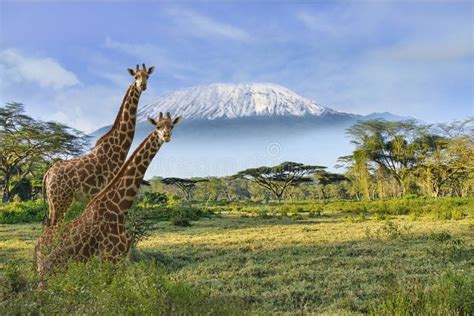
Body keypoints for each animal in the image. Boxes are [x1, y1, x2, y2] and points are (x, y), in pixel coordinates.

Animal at [34, 111, 182, 278]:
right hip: (49, 268)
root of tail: (37, 248)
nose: (166, 136)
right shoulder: (109, 257)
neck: (118, 207)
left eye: (172, 125)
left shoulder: (120, 259)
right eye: (158, 126)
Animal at [42, 63, 154, 227]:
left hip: (54, 201)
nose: (143, 85)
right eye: (136, 76)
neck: (118, 149)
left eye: (147, 76)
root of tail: (47, 174)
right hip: (61, 199)